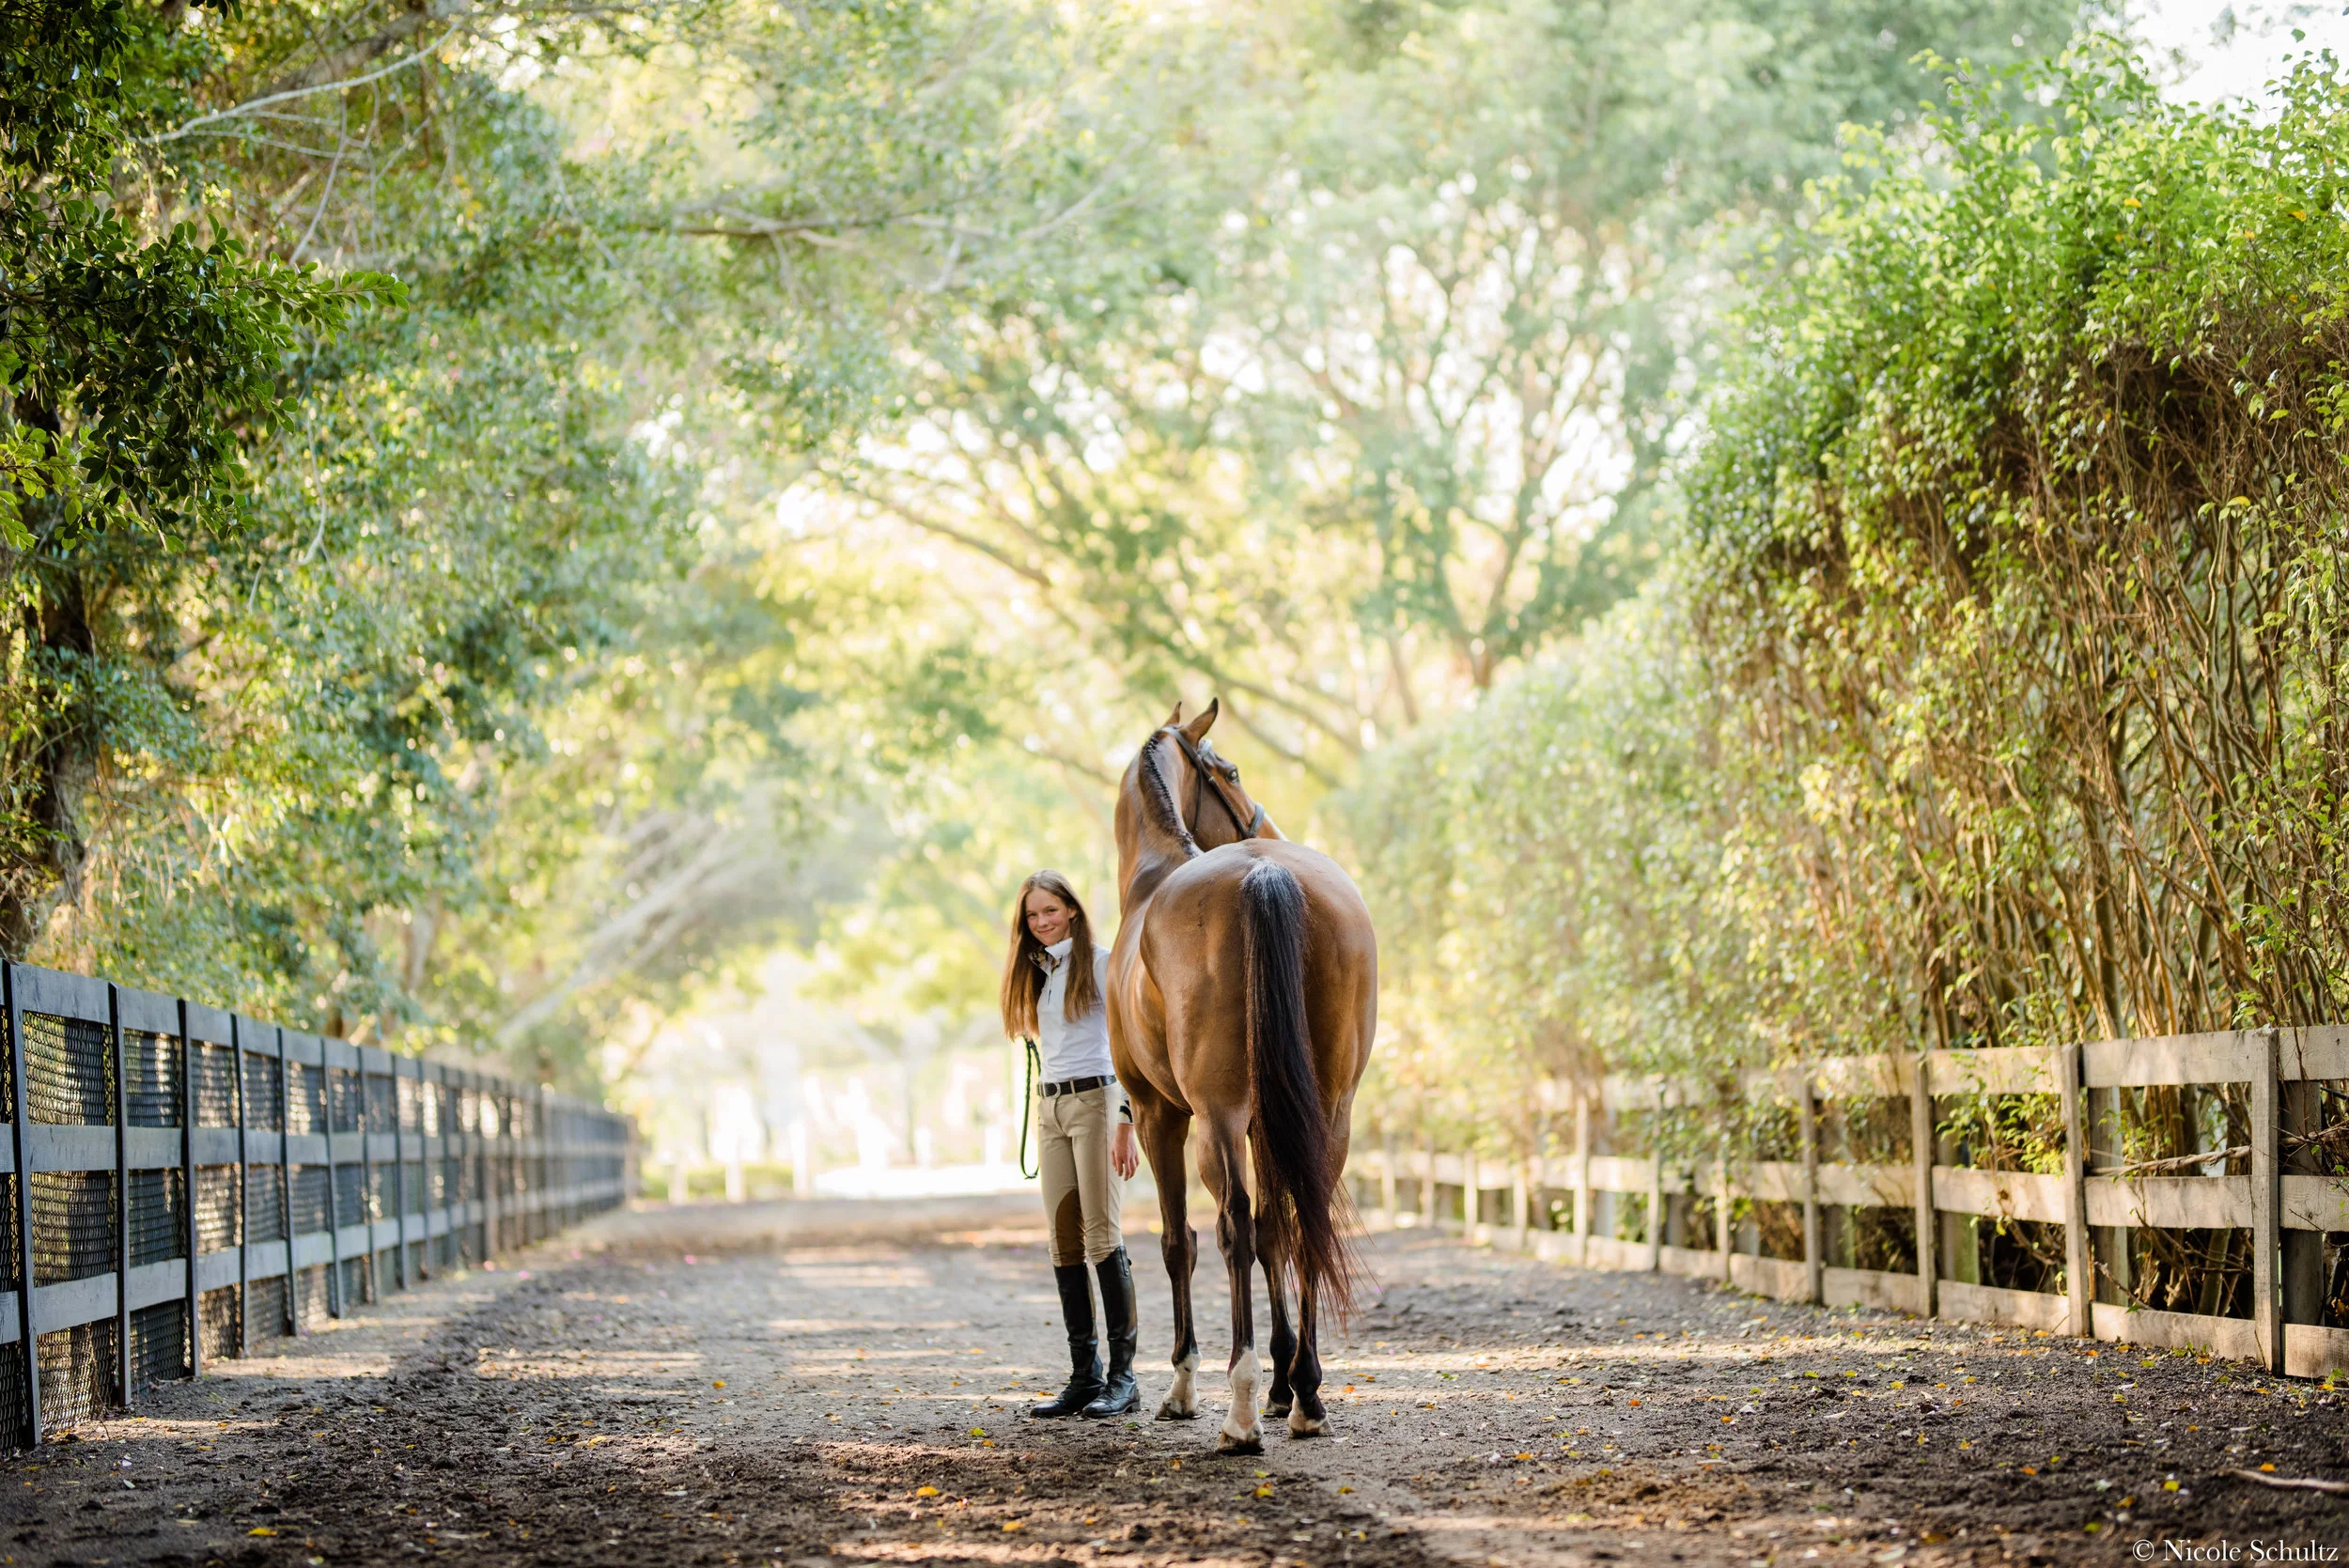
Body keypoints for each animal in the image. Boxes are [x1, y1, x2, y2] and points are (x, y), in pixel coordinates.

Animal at [1103, 698, 1377, 1453]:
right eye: (1228, 770)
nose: (1271, 826)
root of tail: (1264, 872)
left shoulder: (1163, 1115)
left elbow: (1182, 1242)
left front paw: (1183, 1386)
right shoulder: (1269, 1118)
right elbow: (1279, 1228)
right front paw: (1288, 1380)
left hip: (1215, 1115)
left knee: (1232, 1227)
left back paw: (1242, 1408)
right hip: (1330, 1106)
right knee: (1304, 1217)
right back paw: (1305, 1394)